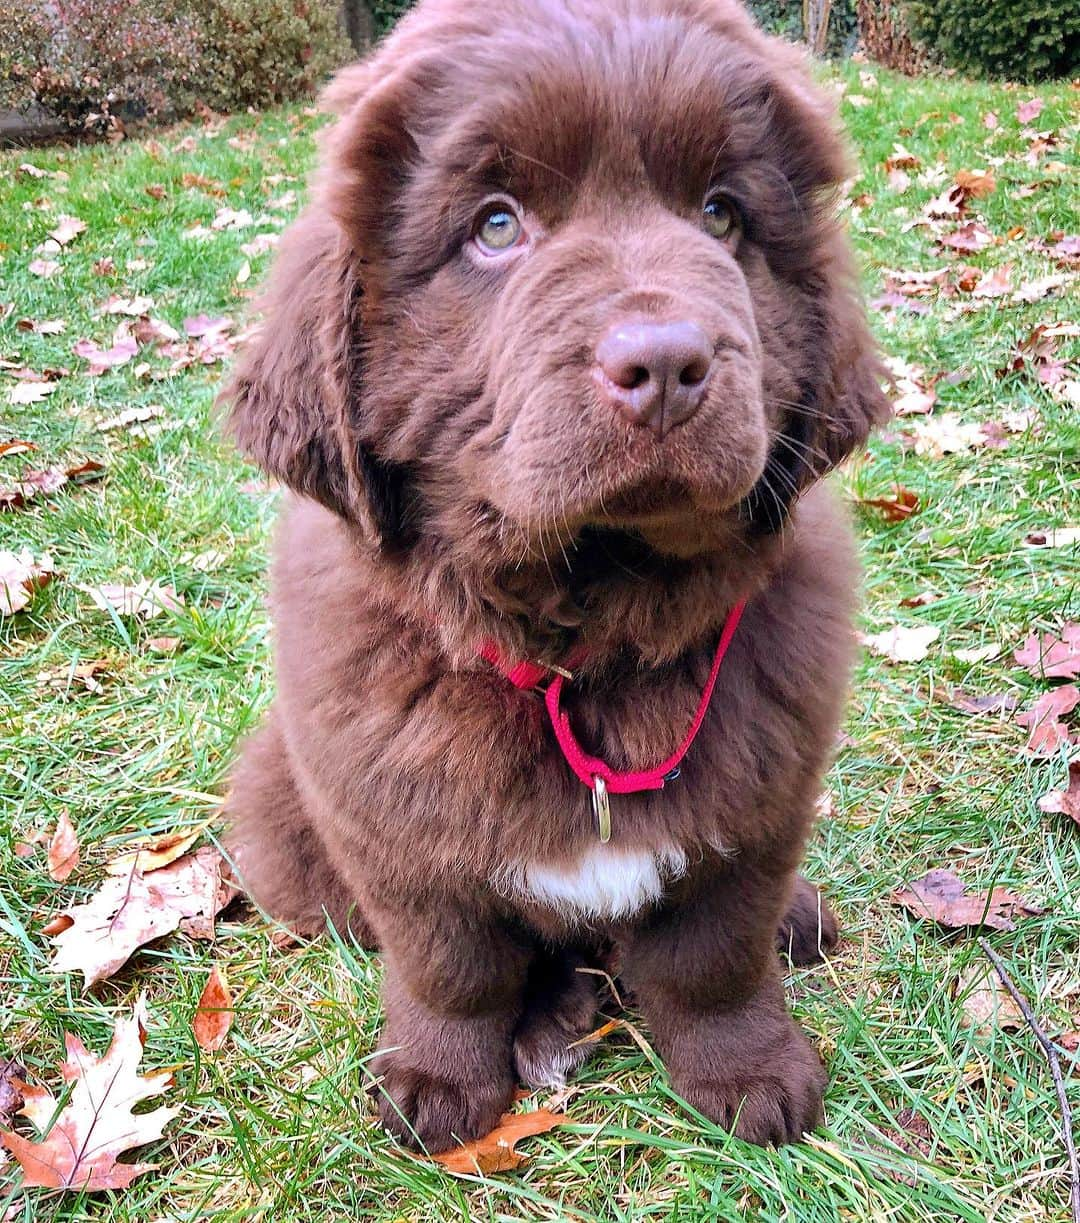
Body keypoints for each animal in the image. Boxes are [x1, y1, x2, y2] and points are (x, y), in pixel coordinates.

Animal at [223, 0, 890, 1149]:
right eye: (497, 228)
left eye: (721, 215)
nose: (666, 361)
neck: (593, 633)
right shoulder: (397, 830)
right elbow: (451, 967)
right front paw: (436, 1082)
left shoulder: (756, 808)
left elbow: (714, 953)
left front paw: (750, 1074)